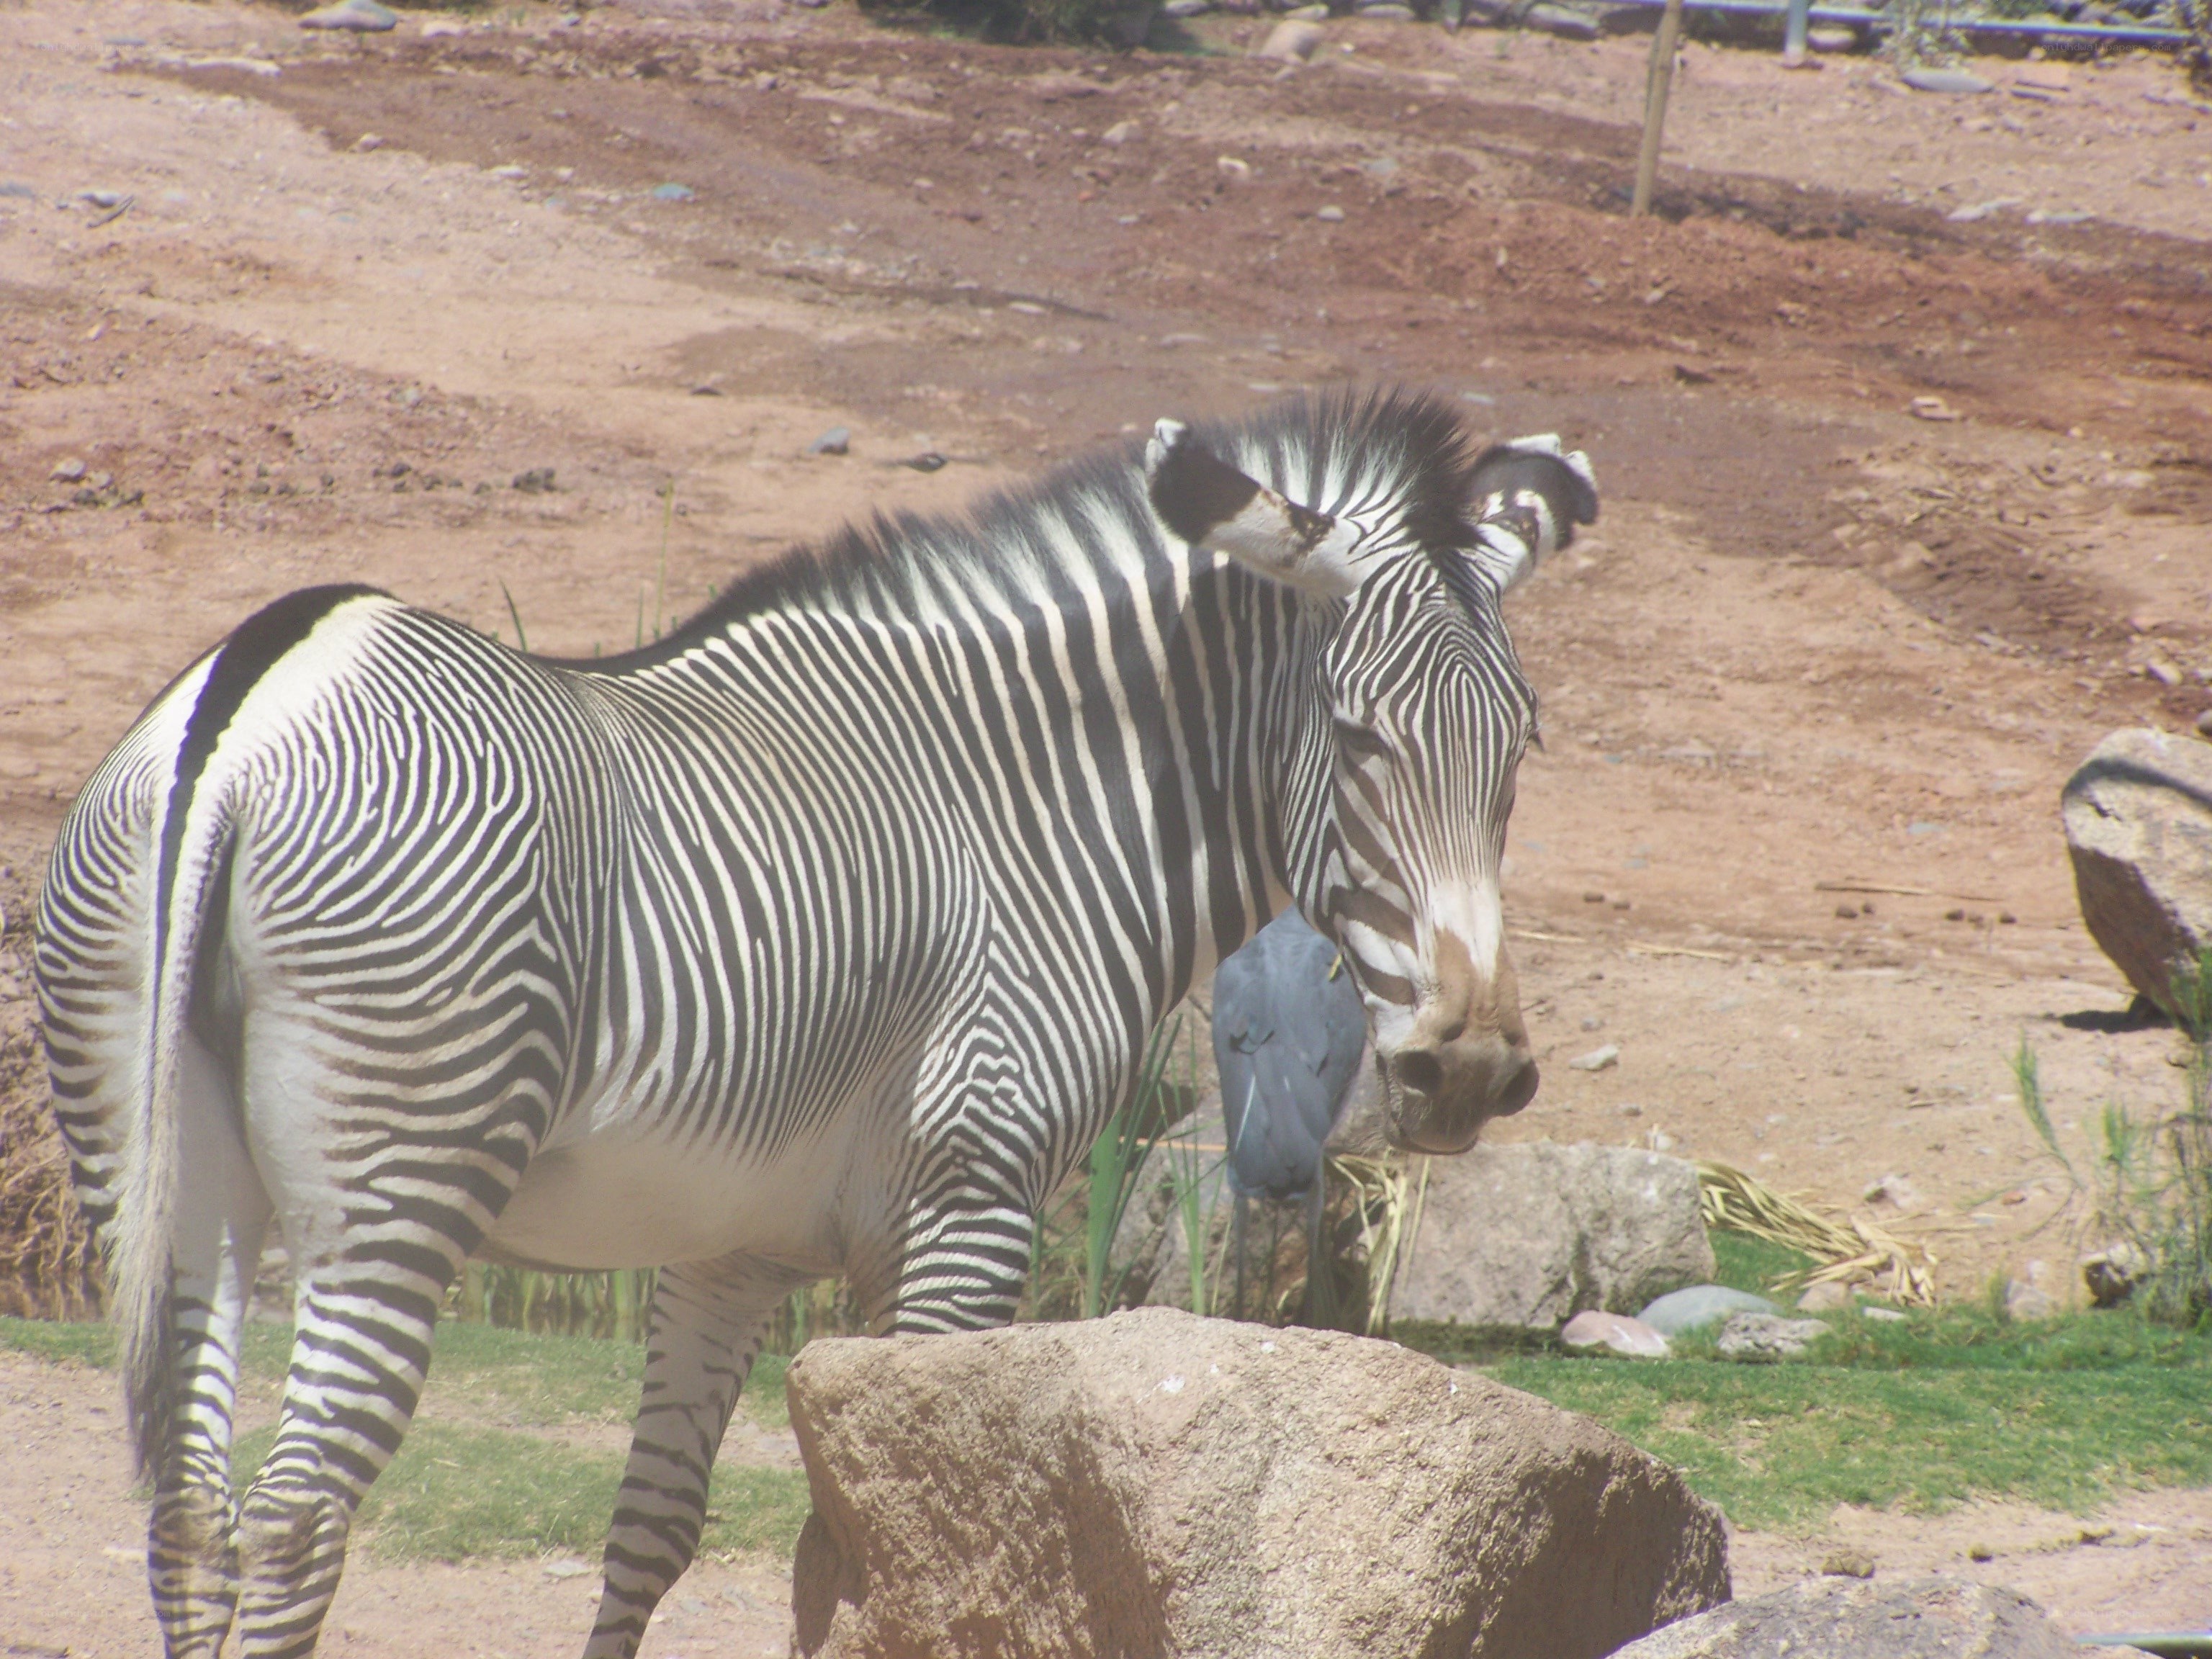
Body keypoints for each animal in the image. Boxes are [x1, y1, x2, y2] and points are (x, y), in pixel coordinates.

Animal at [34, 387, 1596, 1658]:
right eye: (1356, 738)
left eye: (1519, 748)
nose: (1469, 1067)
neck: (1024, 802)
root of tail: (253, 702)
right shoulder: (972, 1202)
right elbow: (916, 1544)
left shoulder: (731, 1248)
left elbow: (661, 1529)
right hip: (398, 1188)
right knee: (297, 1512)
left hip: (161, 1185)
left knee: (189, 1507)